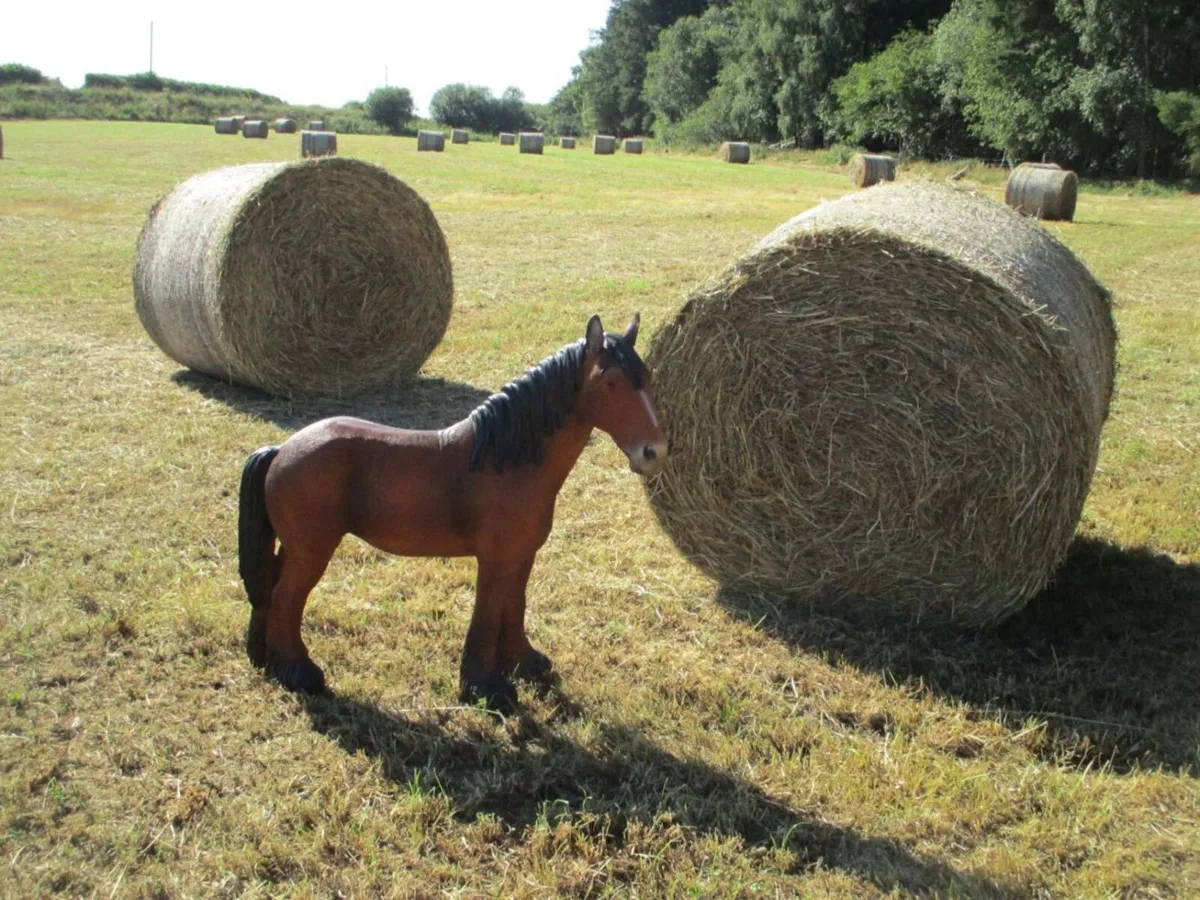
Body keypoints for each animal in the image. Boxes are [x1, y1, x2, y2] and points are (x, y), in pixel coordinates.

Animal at [237, 313, 667, 710]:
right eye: (609, 382)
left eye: (646, 376)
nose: (654, 452)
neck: (505, 460)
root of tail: (281, 449)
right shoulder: (495, 559)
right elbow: (488, 613)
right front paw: (486, 688)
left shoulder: (522, 555)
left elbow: (515, 605)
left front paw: (525, 663)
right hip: (312, 552)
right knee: (286, 598)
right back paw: (299, 673)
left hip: (293, 548)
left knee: (269, 589)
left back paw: (265, 658)